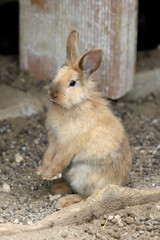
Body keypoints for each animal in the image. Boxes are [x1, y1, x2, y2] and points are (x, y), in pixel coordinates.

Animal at [37, 29, 132, 206]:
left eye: (72, 83)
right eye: (57, 73)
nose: (53, 94)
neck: (73, 106)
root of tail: (117, 184)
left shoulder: (67, 144)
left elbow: (59, 160)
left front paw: (47, 175)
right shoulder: (53, 139)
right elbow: (48, 155)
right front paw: (41, 170)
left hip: (81, 175)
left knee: (88, 196)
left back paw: (64, 201)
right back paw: (58, 188)